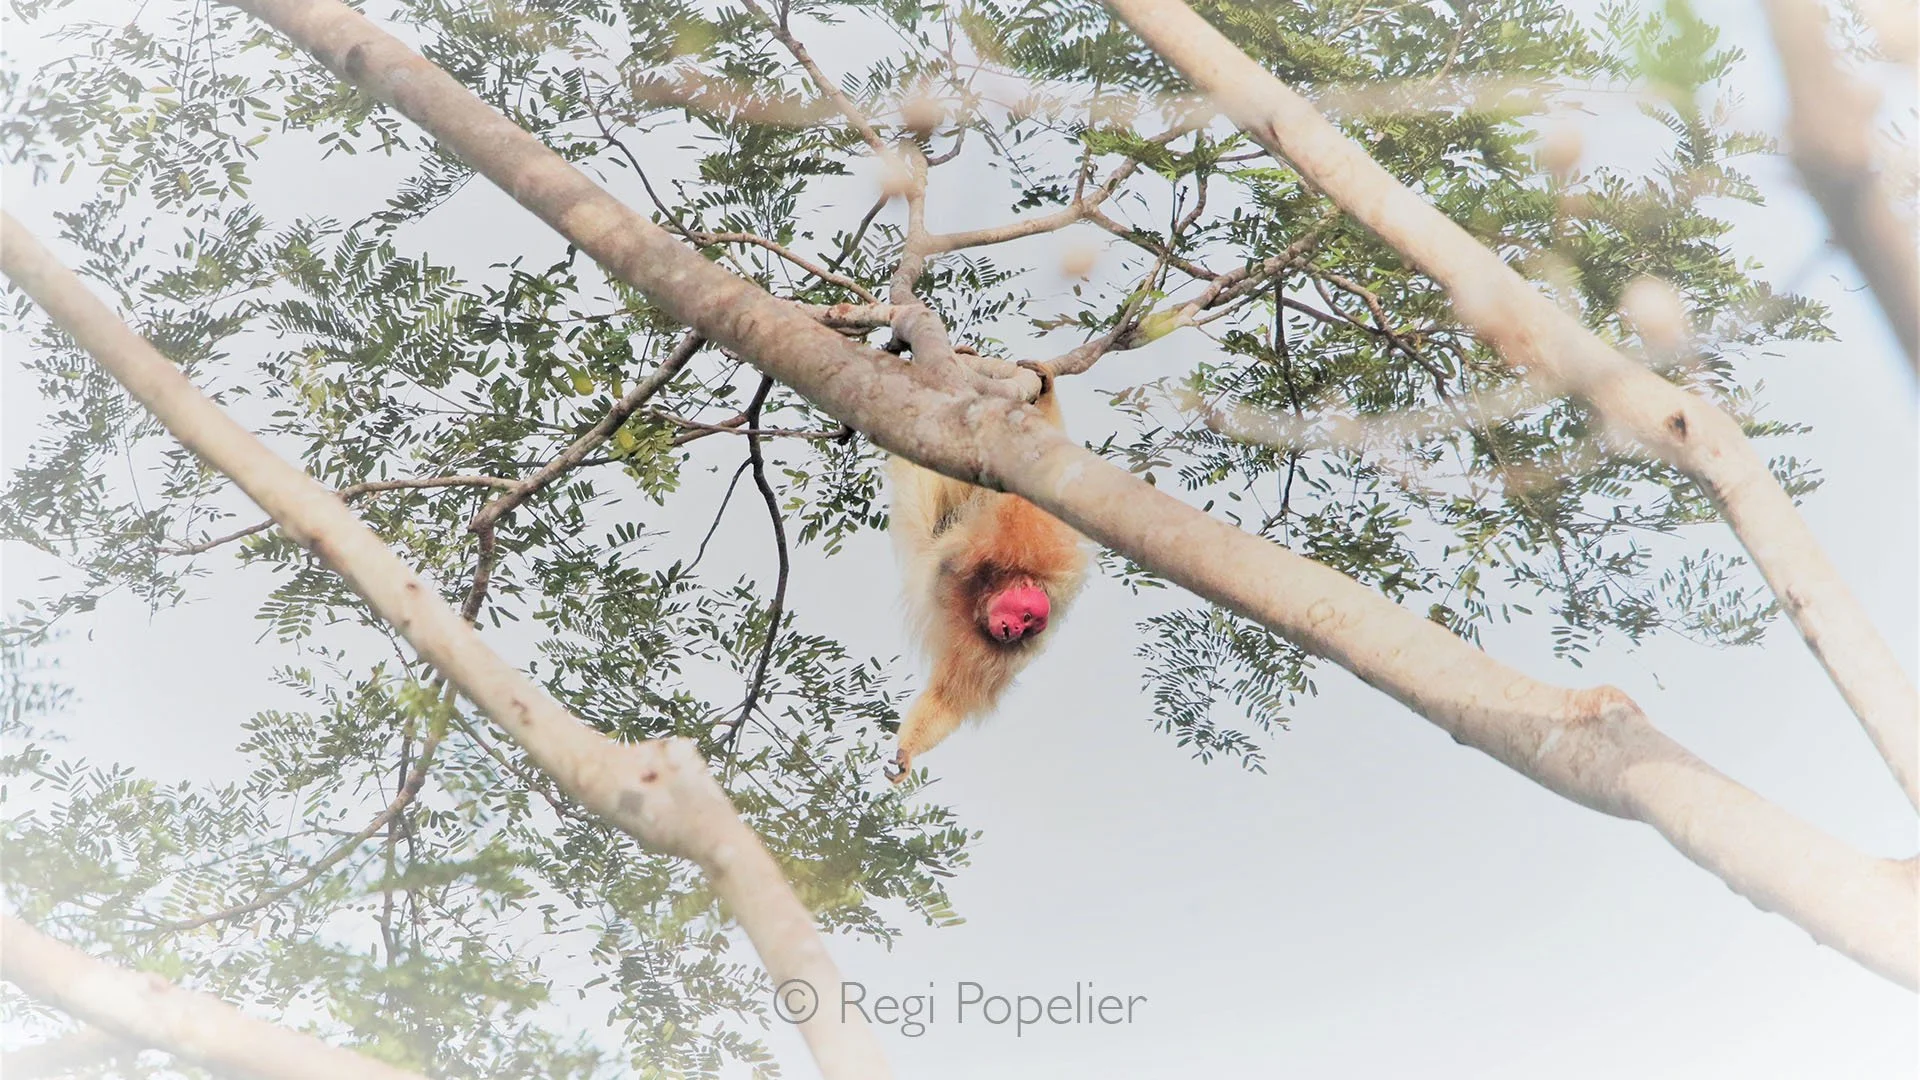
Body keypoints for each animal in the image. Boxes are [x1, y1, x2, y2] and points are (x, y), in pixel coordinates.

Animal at [884, 361, 1087, 784]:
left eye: (1029, 626)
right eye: (1024, 615)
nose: (1012, 632)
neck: (988, 589)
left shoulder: (993, 655)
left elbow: (948, 698)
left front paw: (907, 752)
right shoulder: (1008, 542)